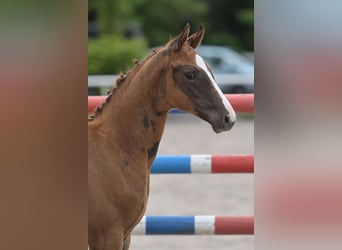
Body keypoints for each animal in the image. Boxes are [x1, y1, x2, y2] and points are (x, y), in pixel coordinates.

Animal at [88, 23, 236, 250]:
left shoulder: (125, 235)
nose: (229, 117)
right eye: (190, 74)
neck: (112, 146)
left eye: (211, 71)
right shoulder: (108, 235)